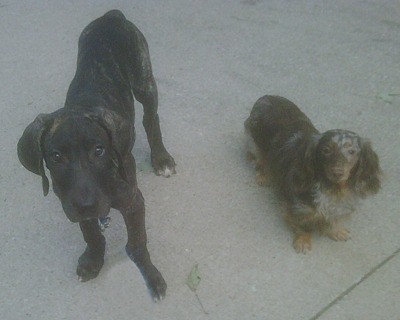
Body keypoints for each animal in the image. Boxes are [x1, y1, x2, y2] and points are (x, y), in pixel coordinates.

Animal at [17, 9, 176, 300]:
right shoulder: (71, 201)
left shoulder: (133, 201)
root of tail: (111, 16)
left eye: (99, 150)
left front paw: (150, 275)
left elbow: (138, 243)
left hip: (144, 80)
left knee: (150, 117)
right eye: (56, 156)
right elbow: (90, 232)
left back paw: (161, 158)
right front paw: (93, 260)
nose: (87, 204)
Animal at [244, 95, 382, 252]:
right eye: (326, 150)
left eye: (352, 151)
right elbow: (303, 225)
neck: (331, 188)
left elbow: (335, 220)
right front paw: (303, 240)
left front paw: (336, 231)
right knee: (260, 160)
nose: (338, 173)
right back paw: (263, 175)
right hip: (254, 144)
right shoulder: (298, 208)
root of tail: (266, 97)